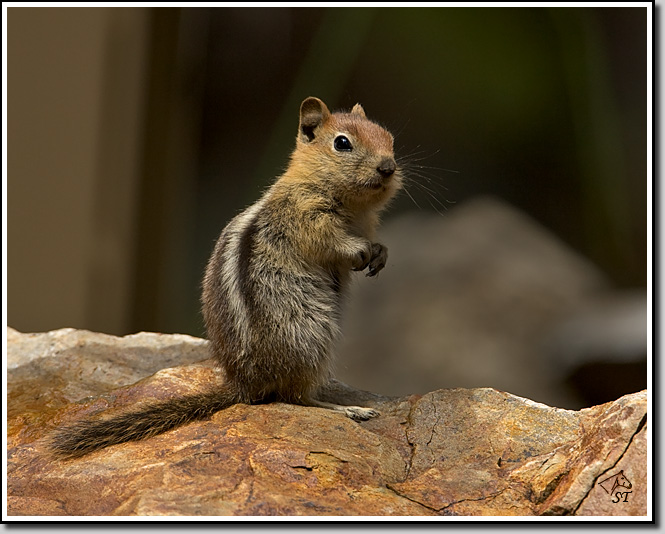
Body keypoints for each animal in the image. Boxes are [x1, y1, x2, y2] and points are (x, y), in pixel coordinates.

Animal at [50, 97, 402, 458]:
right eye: (342, 143)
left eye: (389, 138)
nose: (388, 167)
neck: (353, 206)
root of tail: (243, 385)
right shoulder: (305, 216)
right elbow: (329, 241)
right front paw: (359, 250)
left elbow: (372, 243)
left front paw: (380, 253)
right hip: (312, 339)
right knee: (295, 397)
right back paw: (348, 409)